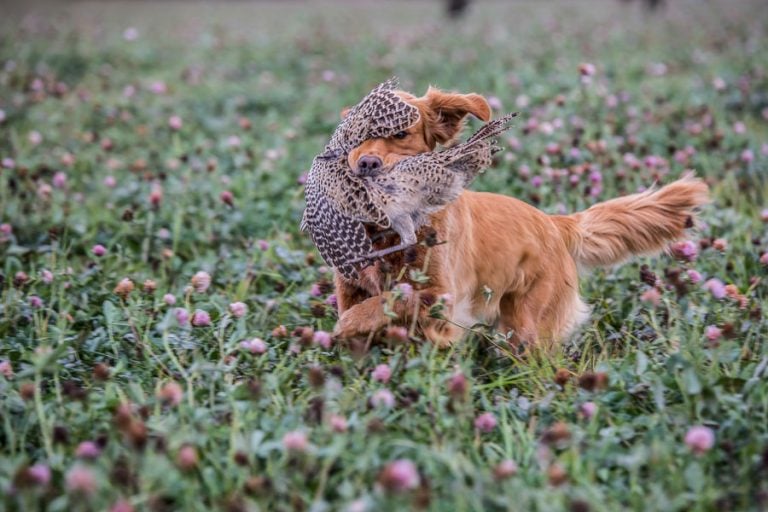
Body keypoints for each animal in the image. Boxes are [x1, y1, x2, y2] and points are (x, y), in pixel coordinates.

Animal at [330, 86, 708, 348]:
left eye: (400, 134)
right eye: (353, 136)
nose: (366, 164)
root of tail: (555, 222)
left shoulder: (441, 295)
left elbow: (391, 299)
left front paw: (348, 324)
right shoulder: (350, 286)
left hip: (528, 325)